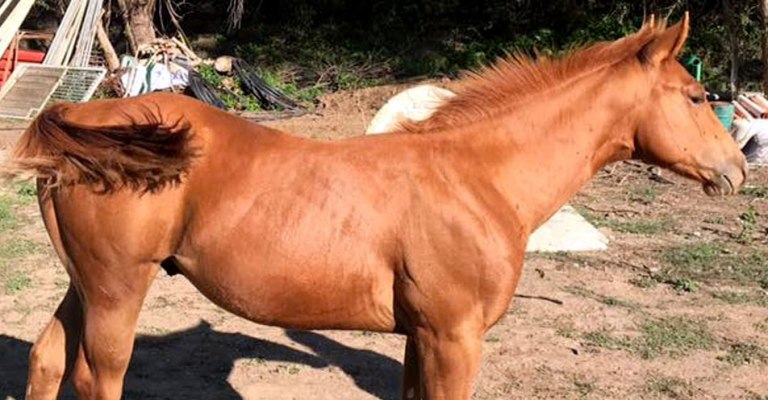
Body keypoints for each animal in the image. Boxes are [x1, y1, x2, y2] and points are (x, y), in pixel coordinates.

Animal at [2, 13, 747, 400]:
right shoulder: (454, 338)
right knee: (95, 377)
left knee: (46, 359)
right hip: (117, 291)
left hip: (87, 285)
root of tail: (80, 114)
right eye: (693, 95)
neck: (475, 177)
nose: (738, 170)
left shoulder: (423, 337)